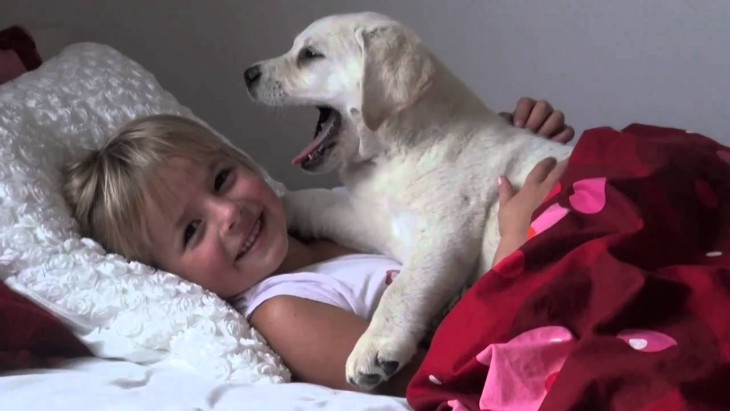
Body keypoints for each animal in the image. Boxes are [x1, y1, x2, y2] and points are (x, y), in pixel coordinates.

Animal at [242, 10, 572, 390]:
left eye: (309, 55)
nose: (247, 74)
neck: (402, 147)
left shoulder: (445, 233)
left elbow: (403, 288)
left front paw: (374, 348)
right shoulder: (373, 218)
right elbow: (319, 201)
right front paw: (282, 206)